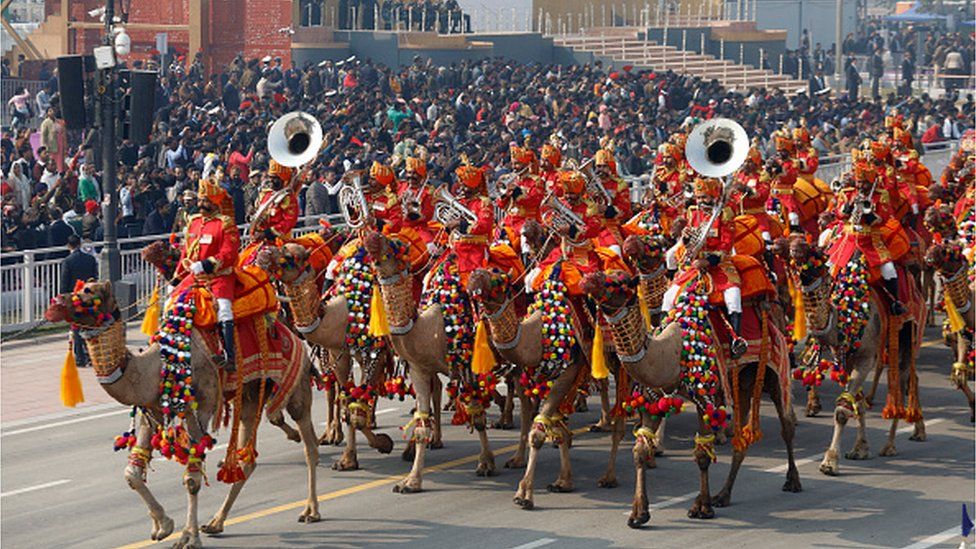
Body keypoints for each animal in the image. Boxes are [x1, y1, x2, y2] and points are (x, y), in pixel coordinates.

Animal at [45, 280, 320, 544]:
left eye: (89, 291)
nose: (55, 301)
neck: (158, 365)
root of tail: (290, 332)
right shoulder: (151, 411)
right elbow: (132, 472)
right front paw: (162, 526)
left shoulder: (202, 407)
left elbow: (191, 479)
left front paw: (188, 537)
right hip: (249, 395)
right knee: (247, 458)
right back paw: (216, 522)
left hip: (295, 383)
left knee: (309, 445)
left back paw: (311, 510)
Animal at [260, 242, 400, 468]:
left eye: (288, 257)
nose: (262, 257)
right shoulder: (338, 355)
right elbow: (349, 403)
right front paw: (348, 459)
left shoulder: (375, 351)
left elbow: (355, 411)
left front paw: (383, 443)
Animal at [580, 270, 800, 528]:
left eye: (618, 282)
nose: (586, 281)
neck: (675, 350)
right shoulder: (654, 397)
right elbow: (640, 451)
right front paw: (638, 513)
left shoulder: (706, 398)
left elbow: (702, 454)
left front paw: (701, 508)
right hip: (744, 379)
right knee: (741, 437)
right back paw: (723, 495)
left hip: (774, 366)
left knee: (786, 423)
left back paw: (792, 481)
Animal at [788, 240, 928, 476]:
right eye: (796, 262)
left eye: (815, 257)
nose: (794, 246)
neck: (847, 316)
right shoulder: (845, 358)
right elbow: (857, 404)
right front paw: (860, 449)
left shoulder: (865, 359)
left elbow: (842, 411)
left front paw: (830, 462)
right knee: (913, 378)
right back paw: (918, 430)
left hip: (909, 336)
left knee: (901, 383)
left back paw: (891, 445)